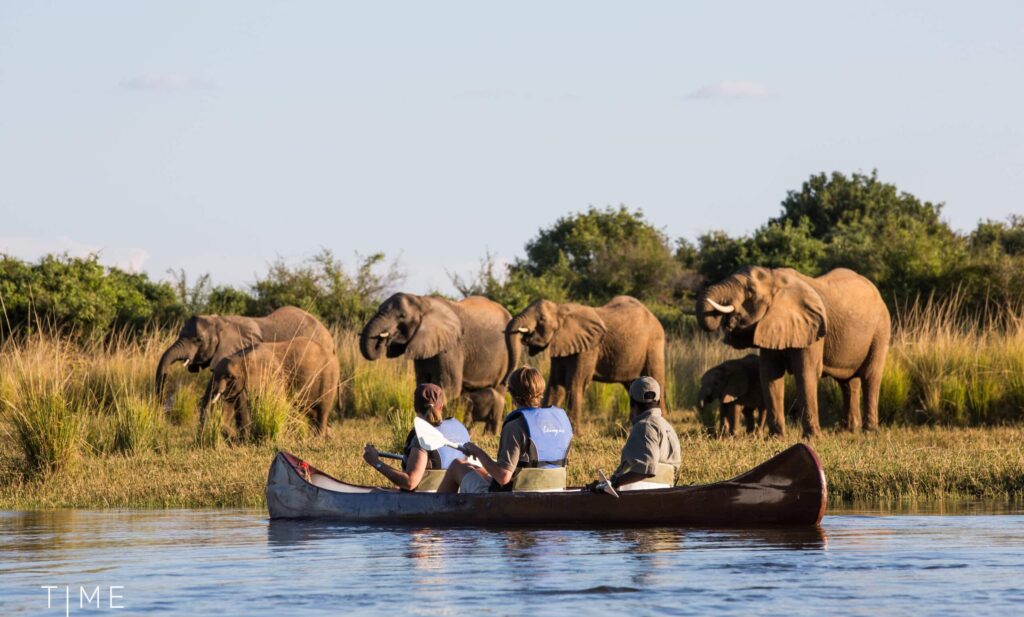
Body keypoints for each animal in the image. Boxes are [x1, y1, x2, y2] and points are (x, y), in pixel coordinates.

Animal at [202, 337, 339, 436]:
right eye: (213, 372)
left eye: (230, 377)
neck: (241, 357)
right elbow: (232, 406)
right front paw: (236, 436)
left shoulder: (273, 378)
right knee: (311, 412)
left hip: (329, 377)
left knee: (322, 410)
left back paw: (319, 438)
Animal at [359, 294, 515, 433]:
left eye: (402, 316)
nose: (383, 339)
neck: (422, 302)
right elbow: (422, 385)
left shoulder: (451, 347)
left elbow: (449, 388)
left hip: (505, 358)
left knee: (499, 390)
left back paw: (489, 435)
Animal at [504, 296, 666, 425]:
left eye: (542, 320)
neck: (560, 310)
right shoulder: (561, 346)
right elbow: (555, 385)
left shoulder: (588, 349)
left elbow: (575, 383)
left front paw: (575, 434)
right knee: (632, 386)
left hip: (654, 344)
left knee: (655, 379)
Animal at [696, 266, 891, 438]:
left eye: (750, 290)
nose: (727, 320)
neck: (776, 278)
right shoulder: (771, 324)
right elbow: (769, 375)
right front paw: (776, 437)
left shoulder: (812, 330)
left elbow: (805, 373)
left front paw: (813, 438)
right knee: (847, 383)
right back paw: (847, 430)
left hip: (880, 330)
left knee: (870, 377)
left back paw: (869, 431)